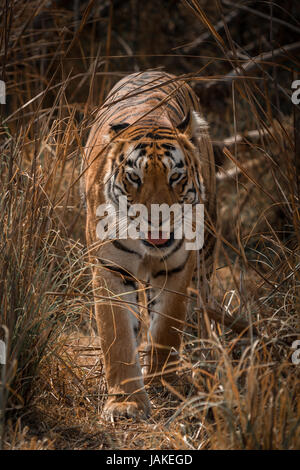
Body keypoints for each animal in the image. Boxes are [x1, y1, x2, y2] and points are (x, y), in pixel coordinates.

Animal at [79, 70, 216, 418]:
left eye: (175, 177)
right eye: (134, 178)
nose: (158, 219)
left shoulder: (178, 268)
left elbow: (166, 328)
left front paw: (161, 385)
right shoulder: (110, 269)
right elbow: (117, 336)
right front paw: (125, 401)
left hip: (206, 251)